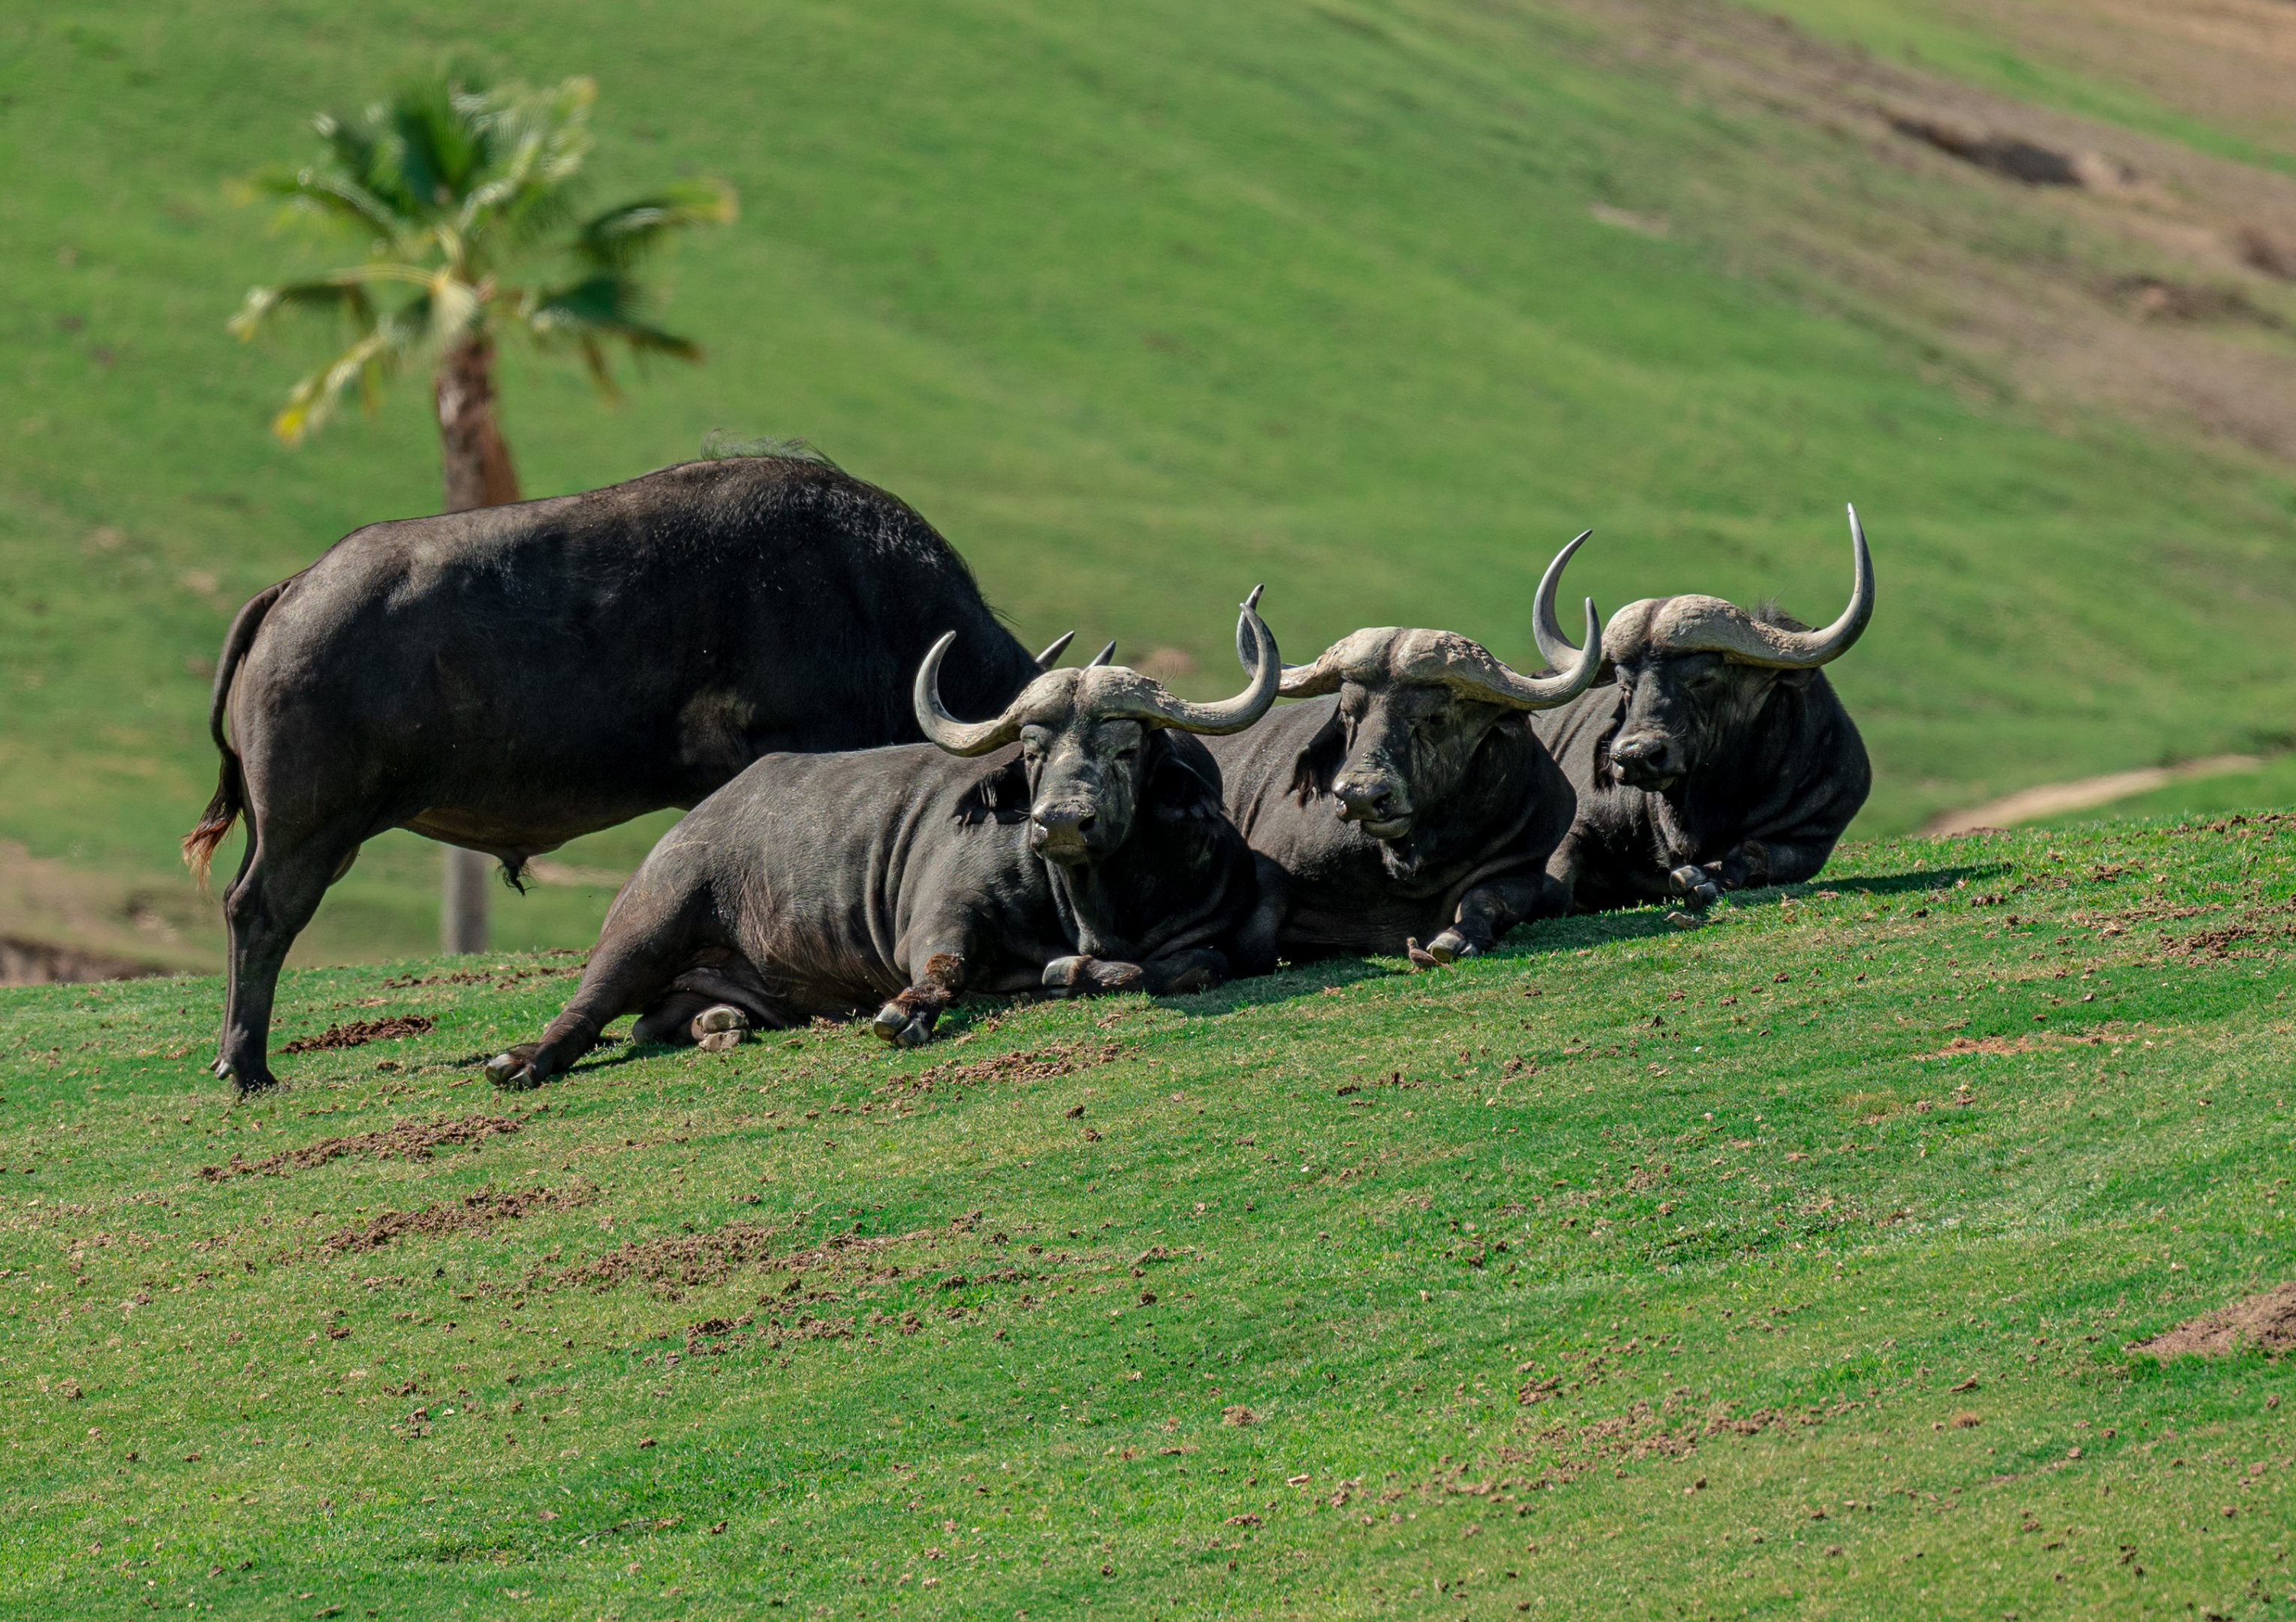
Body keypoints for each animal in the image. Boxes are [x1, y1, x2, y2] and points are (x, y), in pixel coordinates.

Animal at [185, 455, 1050, 1094]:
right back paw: (249, 1066)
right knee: (261, 912)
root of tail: (296, 589)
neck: (870, 600)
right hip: (314, 823)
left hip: (287, 824)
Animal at [482, 594, 1282, 1088]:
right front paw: (907, 1012)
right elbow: (943, 964)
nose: (1058, 822)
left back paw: (720, 1024)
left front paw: (1072, 972)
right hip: (647, 924)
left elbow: (1197, 964)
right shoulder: (939, 916)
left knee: (662, 1024)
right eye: (1030, 750)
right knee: (587, 1007)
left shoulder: (1214, 934)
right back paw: (522, 1060)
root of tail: (691, 825)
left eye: (1125, 747)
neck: (1089, 908)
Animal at [1203, 539, 1603, 966]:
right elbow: (1255, 938)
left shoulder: (1526, 866)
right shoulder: (1271, 866)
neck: (1408, 865)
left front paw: (1451, 941)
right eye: (1349, 713)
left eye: (1434, 716)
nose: (1361, 796)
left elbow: (1489, 898)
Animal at [1531, 506, 1874, 913]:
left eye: (1703, 678)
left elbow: (1755, 853)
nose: (1635, 755)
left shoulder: (1812, 838)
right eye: (1626, 684)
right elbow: (1551, 889)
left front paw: (1702, 879)